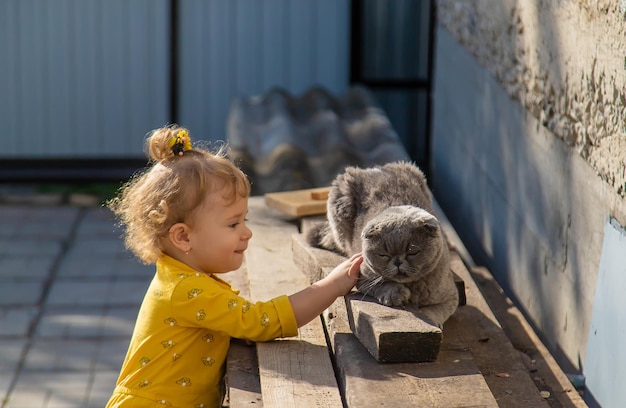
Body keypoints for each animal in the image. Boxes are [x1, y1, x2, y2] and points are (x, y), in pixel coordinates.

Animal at [308, 161, 458, 326]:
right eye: (383, 255)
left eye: (412, 252)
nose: (398, 263)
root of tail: (374, 168)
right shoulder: (362, 276)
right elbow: (381, 284)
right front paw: (396, 295)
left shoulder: (451, 297)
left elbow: (434, 312)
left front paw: (431, 319)